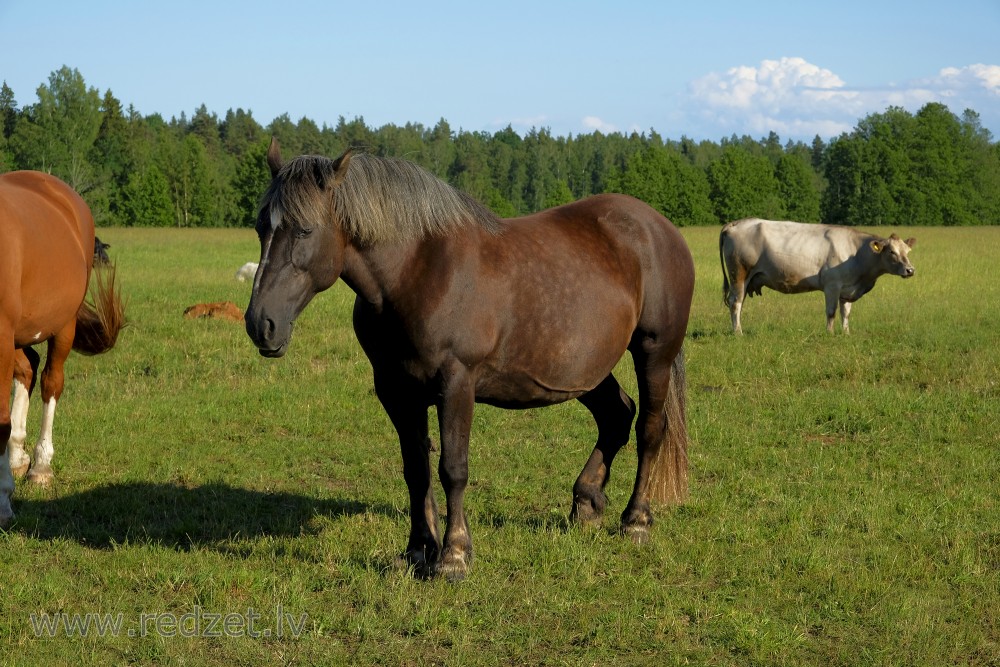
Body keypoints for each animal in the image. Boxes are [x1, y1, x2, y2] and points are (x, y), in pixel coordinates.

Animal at [246, 141, 696, 580]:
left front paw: (454, 556)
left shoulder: (456, 382)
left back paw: (636, 520)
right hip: (584, 369)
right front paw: (418, 550)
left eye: (305, 229)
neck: (416, 271)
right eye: (261, 228)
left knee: (649, 429)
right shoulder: (395, 388)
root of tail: (659, 228)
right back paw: (586, 502)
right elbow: (416, 469)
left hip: (654, 353)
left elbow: (453, 468)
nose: (260, 324)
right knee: (616, 415)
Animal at [720, 219, 916, 334]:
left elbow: (846, 313)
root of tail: (736, 223)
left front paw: (846, 334)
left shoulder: (847, 289)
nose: (910, 270)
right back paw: (738, 332)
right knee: (735, 303)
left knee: (739, 304)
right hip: (739, 275)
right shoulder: (832, 285)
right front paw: (830, 334)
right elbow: (831, 312)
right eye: (891, 252)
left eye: (907, 251)